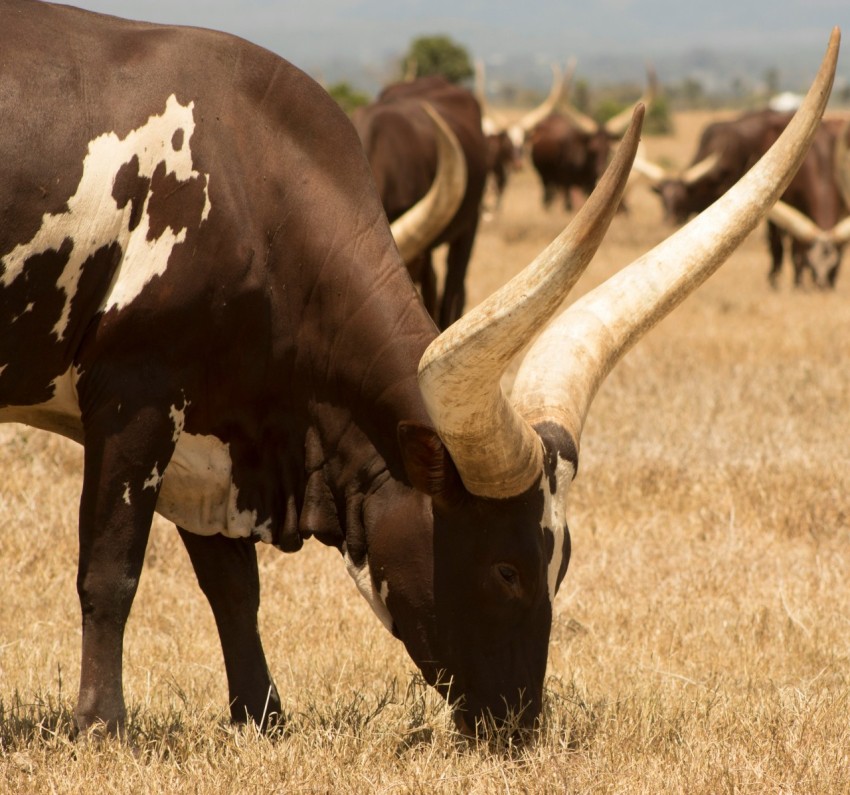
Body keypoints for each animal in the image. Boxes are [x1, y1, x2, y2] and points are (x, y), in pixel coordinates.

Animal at [0, 1, 836, 748]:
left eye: (562, 562)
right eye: (507, 569)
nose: (518, 728)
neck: (250, 181)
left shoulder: (212, 430)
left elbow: (232, 585)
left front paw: (263, 717)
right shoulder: (137, 394)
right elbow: (111, 568)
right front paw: (102, 726)